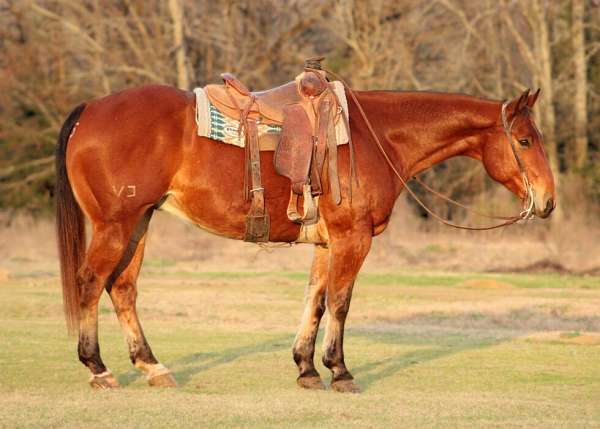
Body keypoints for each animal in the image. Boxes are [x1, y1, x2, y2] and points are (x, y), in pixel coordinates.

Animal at [54, 83, 556, 392]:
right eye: (525, 141)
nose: (548, 201)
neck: (377, 138)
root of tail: (90, 109)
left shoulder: (327, 243)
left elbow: (314, 300)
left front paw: (306, 368)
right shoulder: (353, 239)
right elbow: (340, 302)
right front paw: (340, 370)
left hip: (138, 223)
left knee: (122, 288)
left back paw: (152, 366)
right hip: (116, 224)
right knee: (89, 282)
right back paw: (98, 369)